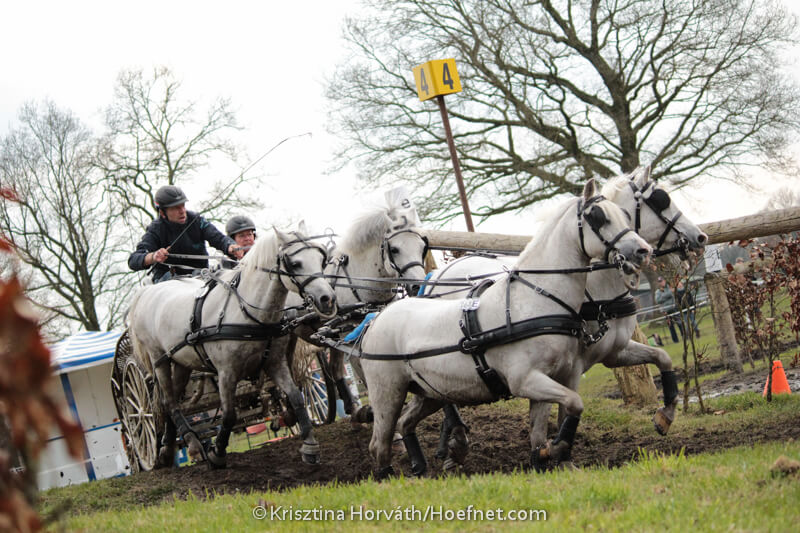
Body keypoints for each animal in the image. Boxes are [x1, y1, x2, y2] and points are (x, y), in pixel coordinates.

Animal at [126, 223, 337, 468]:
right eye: (295, 263)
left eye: (321, 259)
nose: (328, 299)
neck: (248, 312)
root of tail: (145, 292)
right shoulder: (226, 372)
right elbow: (228, 414)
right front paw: (217, 453)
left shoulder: (275, 363)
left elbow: (296, 397)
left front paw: (310, 446)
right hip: (159, 359)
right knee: (167, 401)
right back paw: (193, 445)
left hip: (181, 362)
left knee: (172, 402)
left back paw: (170, 450)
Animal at [283, 195, 429, 418]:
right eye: (394, 249)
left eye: (422, 247)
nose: (418, 286)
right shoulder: (350, 333)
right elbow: (362, 365)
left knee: (334, 369)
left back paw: (352, 407)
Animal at [356, 179, 652, 478]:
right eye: (598, 217)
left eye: (625, 215)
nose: (643, 250)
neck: (534, 300)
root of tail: (375, 320)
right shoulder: (525, 380)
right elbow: (574, 403)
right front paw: (556, 450)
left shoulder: (554, 377)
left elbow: (542, 430)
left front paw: (546, 459)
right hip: (387, 393)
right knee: (379, 444)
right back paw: (392, 477)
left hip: (430, 392)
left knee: (405, 423)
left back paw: (422, 469)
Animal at [422, 165, 708, 472]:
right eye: (661, 199)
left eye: (626, 215)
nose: (700, 237)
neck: (594, 289)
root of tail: (438, 276)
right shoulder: (568, 365)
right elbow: (556, 411)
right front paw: (552, 454)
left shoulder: (613, 353)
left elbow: (662, 357)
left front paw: (665, 416)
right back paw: (456, 444)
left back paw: (448, 446)